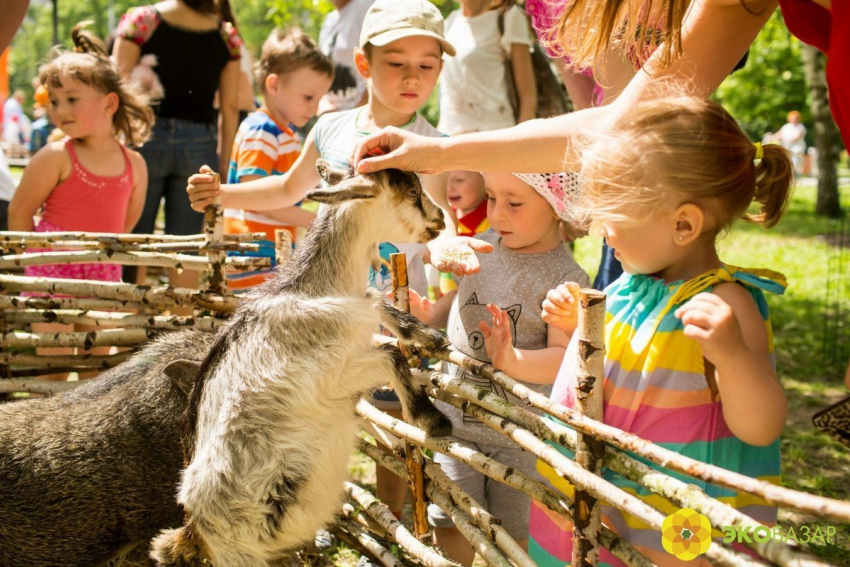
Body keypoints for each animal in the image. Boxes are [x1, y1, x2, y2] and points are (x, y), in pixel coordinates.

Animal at [151, 160, 450, 567]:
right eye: (413, 192)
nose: (442, 220)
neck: (317, 290)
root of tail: (193, 531)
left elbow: (376, 301)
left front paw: (428, 335)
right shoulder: (336, 377)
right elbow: (390, 354)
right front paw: (433, 420)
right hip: (239, 550)